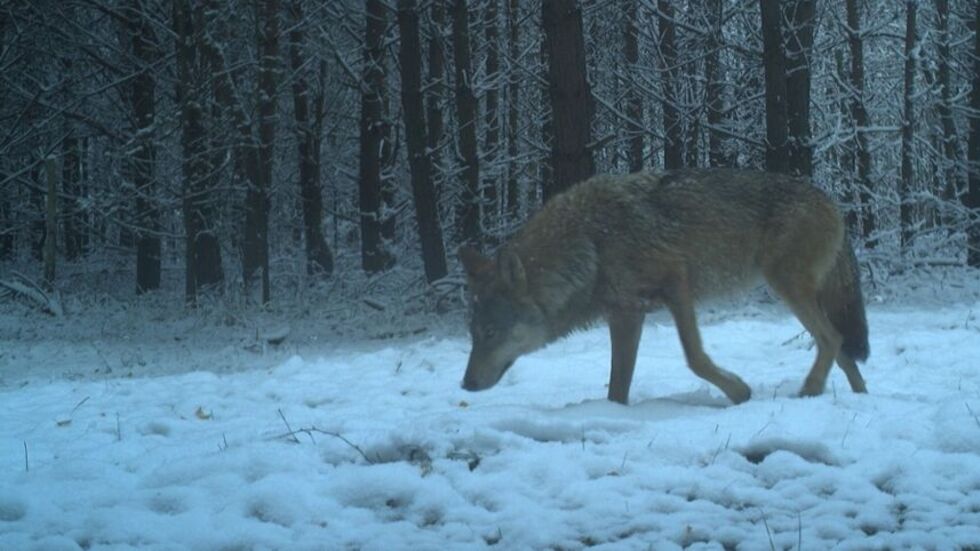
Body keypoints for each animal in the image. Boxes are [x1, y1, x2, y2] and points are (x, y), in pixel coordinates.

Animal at [459, 169, 869, 405]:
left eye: (491, 333)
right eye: (473, 335)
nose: (465, 384)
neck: (591, 245)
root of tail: (831, 200)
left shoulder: (676, 284)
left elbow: (695, 358)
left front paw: (739, 391)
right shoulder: (625, 314)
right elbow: (617, 387)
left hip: (787, 287)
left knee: (832, 339)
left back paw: (810, 391)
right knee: (841, 348)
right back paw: (860, 395)